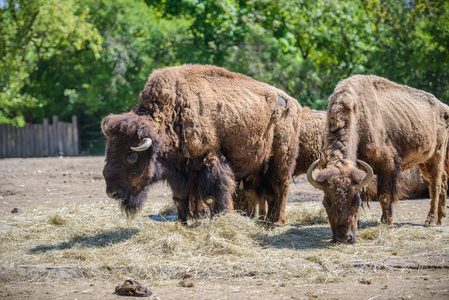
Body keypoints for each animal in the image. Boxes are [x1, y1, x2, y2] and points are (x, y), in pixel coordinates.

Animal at [100, 65, 300, 225]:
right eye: (108, 153)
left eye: (132, 157)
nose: (112, 192)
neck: (173, 114)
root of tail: (293, 102)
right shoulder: (180, 172)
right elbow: (180, 198)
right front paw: (183, 223)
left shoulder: (210, 162)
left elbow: (212, 196)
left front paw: (217, 219)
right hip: (261, 167)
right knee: (270, 192)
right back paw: (268, 221)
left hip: (282, 158)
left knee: (281, 187)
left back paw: (277, 222)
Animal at [306, 75, 446, 244]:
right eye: (326, 202)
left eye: (355, 201)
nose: (343, 238)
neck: (358, 115)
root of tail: (443, 107)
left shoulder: (388, 165)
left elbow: (384, 196)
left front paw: (387, 223)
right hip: (423, 162)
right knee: (442, 182)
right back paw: (441, 217)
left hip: (436, 156)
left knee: (435, 185)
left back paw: (431, 220)